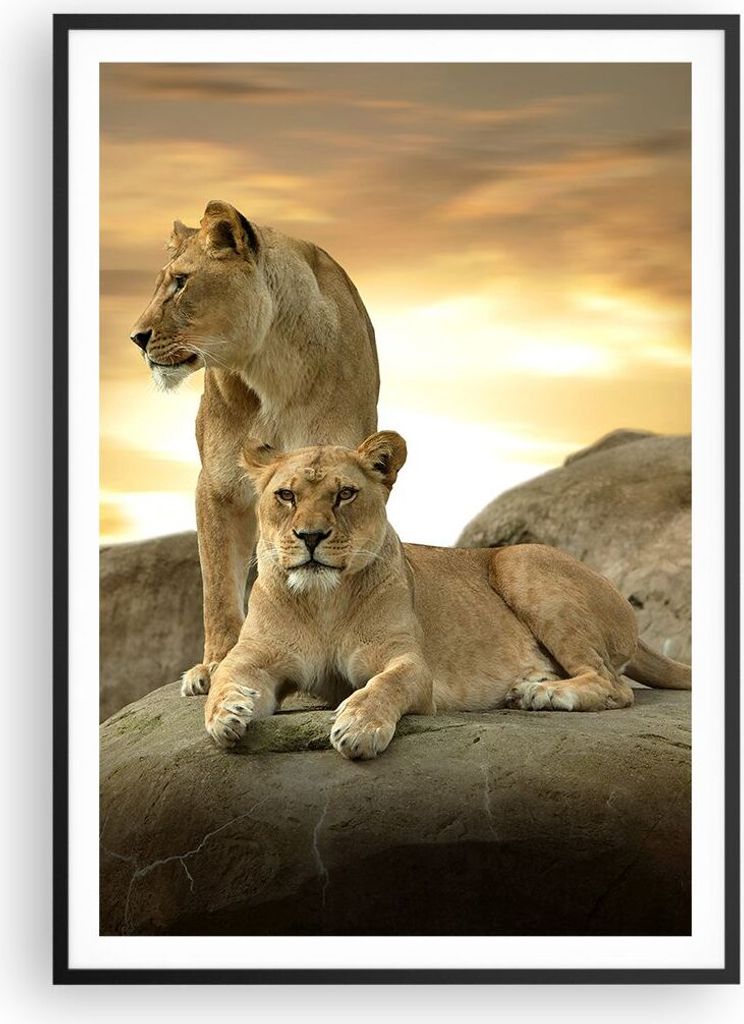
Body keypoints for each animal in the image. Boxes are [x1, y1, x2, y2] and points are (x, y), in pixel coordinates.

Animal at [129, 200, 379, 696]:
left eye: (181, 282)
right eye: (161, 282)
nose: (137, 337)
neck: (270, 365)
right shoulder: (218, 485)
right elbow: (218, 581)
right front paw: (215, 665)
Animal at [203, 431, 692, 759]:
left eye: (345, 494)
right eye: (286, 495)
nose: (310, 536)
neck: (323, 601)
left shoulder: (409, 663)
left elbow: (385, 685)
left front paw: (358, 726)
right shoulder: (256, 657)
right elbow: (227, 675)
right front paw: (225, 712)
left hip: (520, 561)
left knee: (614, 685)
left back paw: (539, 695)